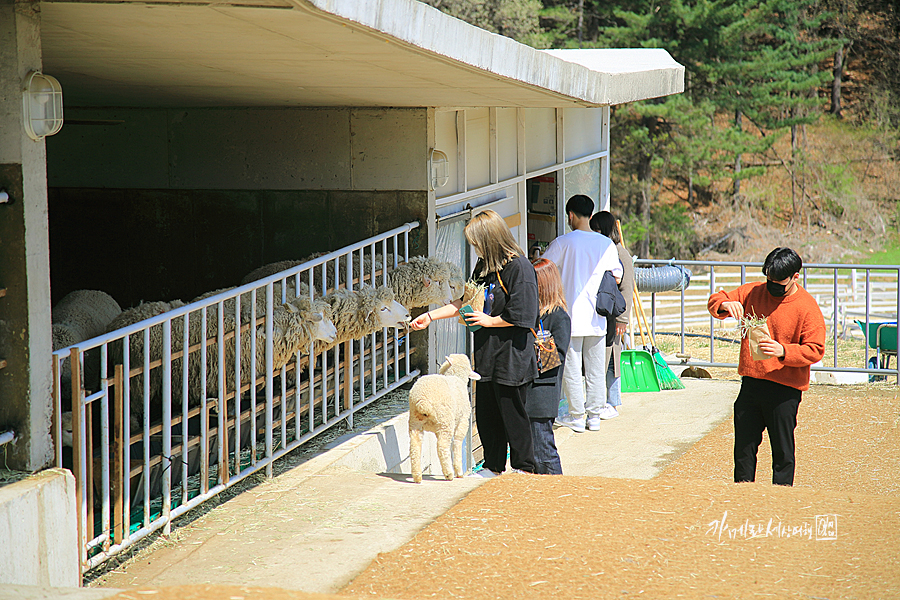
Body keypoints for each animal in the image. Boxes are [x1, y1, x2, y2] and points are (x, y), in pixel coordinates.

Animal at [406, 354, 478, 486]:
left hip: (415, 421)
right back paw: (449, 473)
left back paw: (417, 476)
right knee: (442, 447)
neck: (456, 377)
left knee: (415, 446)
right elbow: (458, 442)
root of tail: (423, 402)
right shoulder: (463, 420)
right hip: (445, 421)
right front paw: (459, 472)